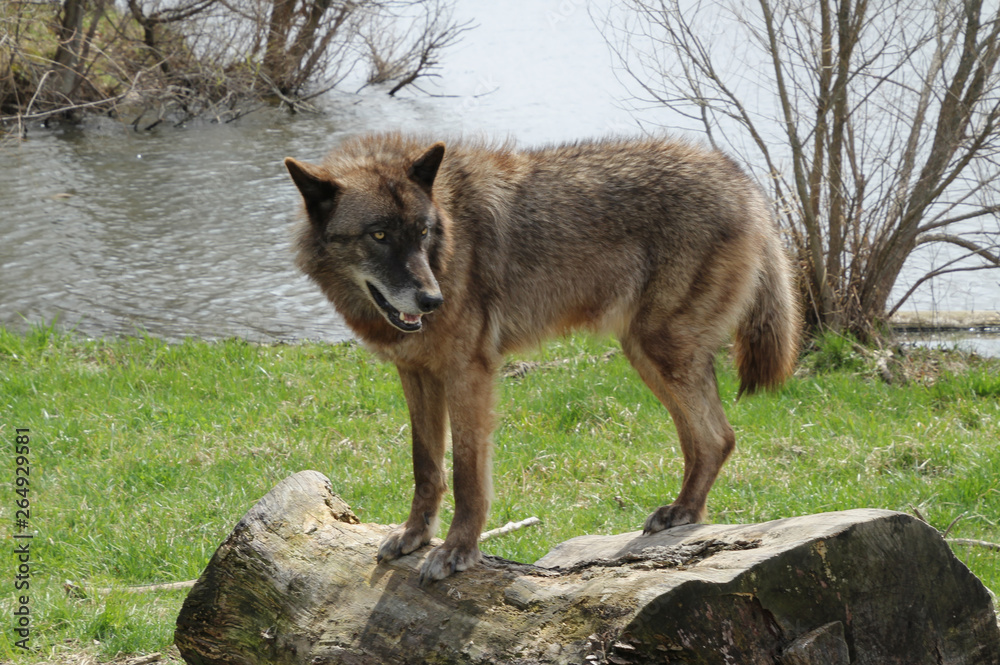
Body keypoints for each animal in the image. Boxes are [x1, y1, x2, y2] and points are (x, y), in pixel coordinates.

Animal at [284, 133, 800, 584]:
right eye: (378, 235)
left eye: (423, 232)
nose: (432, 300)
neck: (450, 240)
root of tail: (743, 183)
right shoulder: (416, 374)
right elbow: (425, 466)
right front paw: (415, 536)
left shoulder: (469, 374)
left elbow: (467, 475)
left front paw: (457, 551)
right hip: (647, 355)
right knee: (707, 439)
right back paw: (684, 514)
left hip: (662, 350)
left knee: (717, 437)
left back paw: (682, 511)